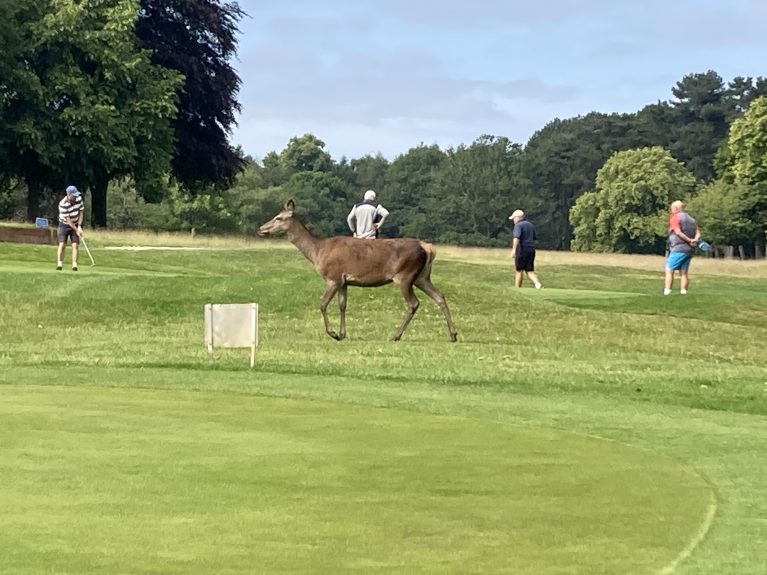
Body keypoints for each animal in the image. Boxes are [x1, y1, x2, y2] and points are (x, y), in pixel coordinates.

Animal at [257, 200, 458, 343]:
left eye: (279, 217)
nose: (261, 228)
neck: (317, 252)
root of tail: (428, 248)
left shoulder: (333, 277)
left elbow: (322, 303)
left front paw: (332, 333)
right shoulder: (344, 281)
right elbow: (342, 305)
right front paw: (342, 333)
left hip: (405, 275)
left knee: (413, 303)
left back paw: (395, 335)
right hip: (422, 276)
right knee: (440, 296)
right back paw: (453, 334)